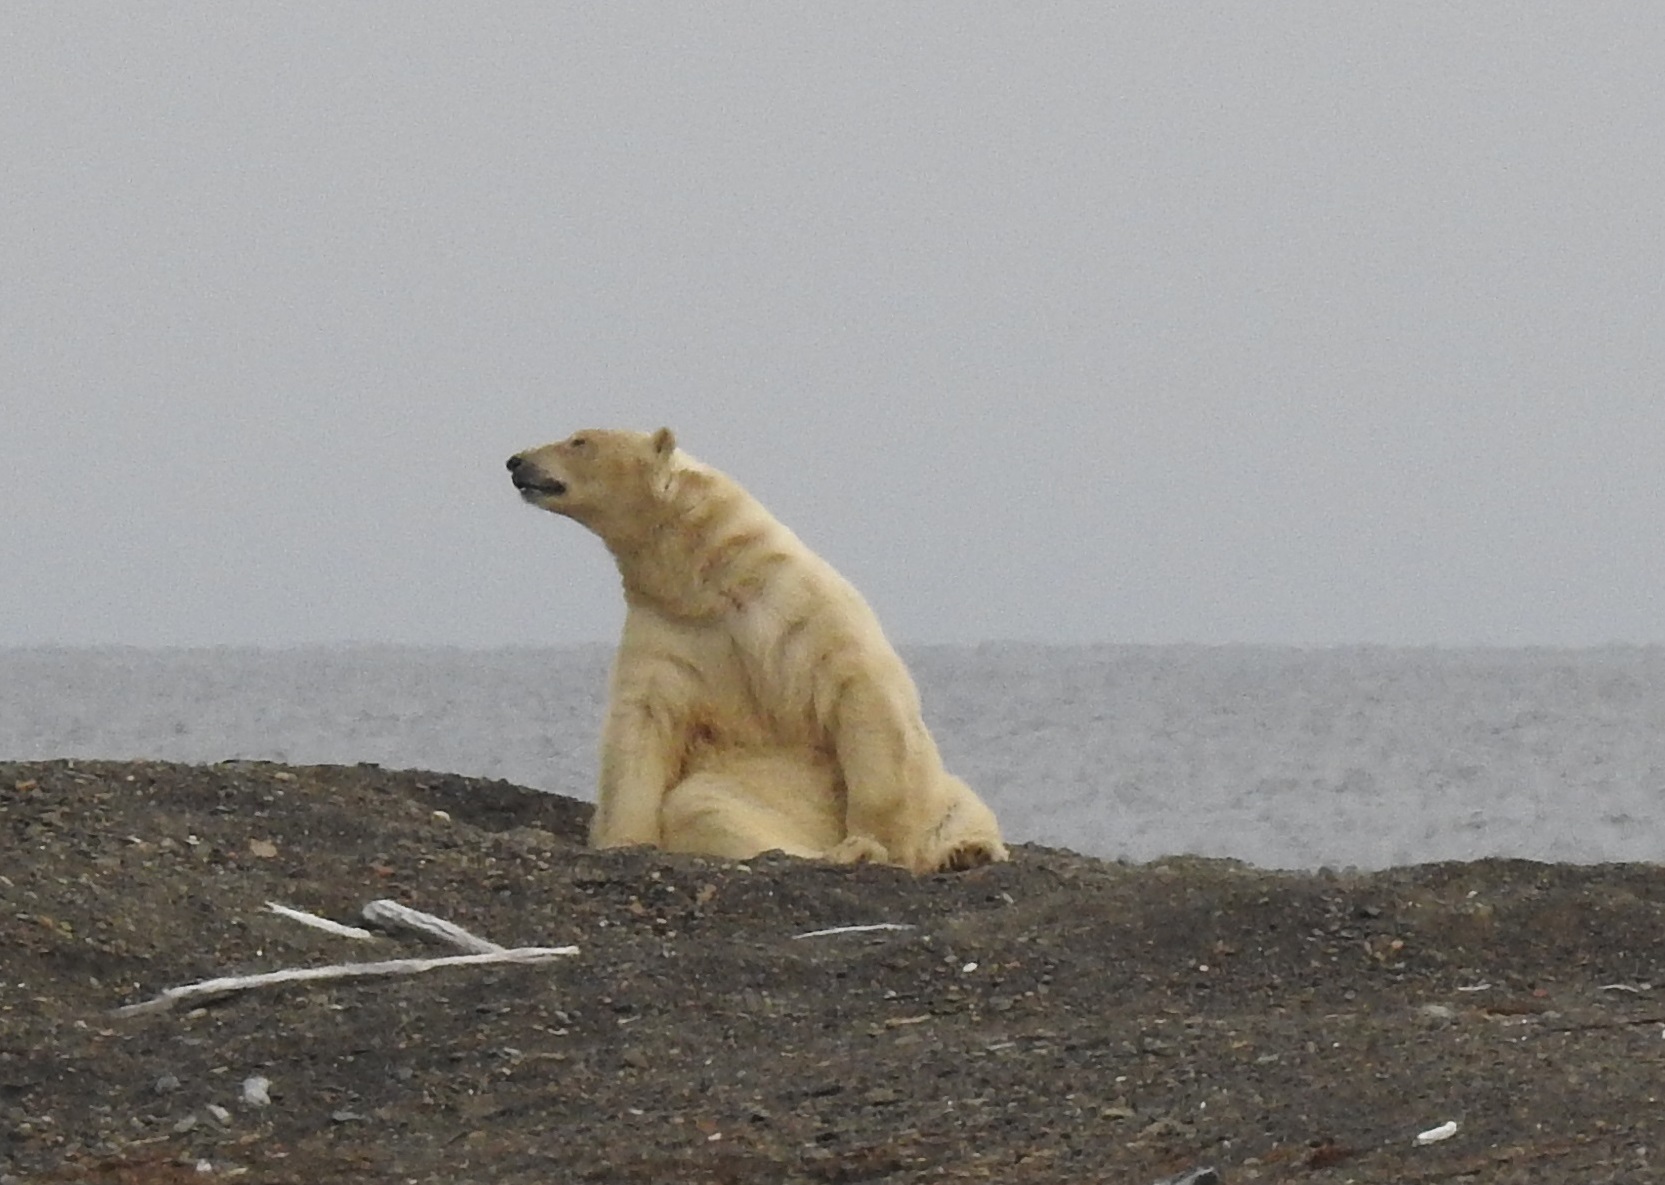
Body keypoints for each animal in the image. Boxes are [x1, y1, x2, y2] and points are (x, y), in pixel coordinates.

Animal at [499, 426, 1005, 872]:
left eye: (579, 441)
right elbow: (641, 724)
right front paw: (624, 839)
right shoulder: (670, 633)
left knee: (960, 805)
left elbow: (862, 694)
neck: (714, 577)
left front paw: (877, 841)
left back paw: (963, 850)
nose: (516, 461)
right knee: (706, 804)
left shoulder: (802, 608)